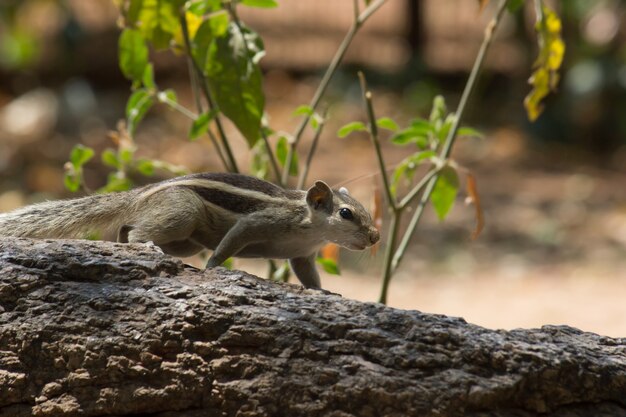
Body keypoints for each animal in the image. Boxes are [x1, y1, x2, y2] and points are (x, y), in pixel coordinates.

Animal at [0, 171, 378, 286]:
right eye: (346, 213)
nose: (376, 237)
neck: (310, 226)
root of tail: (139, 194)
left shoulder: (302, 256)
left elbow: (309, 277)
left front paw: (325, 293)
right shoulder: (258, 222)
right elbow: (229, 244)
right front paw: (214, 269)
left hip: (187, 240)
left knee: (126, 229)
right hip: (184, 211)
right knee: (135, 232)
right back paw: (145, 247)